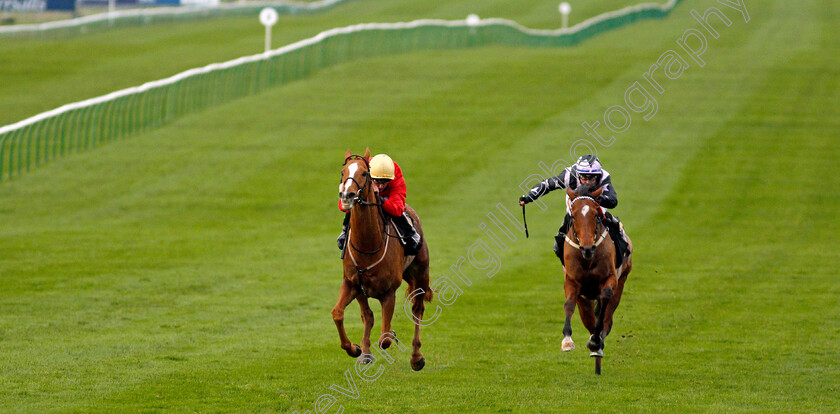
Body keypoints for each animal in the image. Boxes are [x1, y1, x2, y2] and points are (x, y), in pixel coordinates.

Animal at [332, 149, 434, 372]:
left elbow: (385, 338)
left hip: (421, 273)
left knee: (418, 310)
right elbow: (340, 314)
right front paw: (356, 349)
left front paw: (389, 338)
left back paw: (416, 357)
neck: (368, 245)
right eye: (343, 172)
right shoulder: (352, 283)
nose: (347, 195)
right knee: (367, 316)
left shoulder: (388, 292)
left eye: (364, 173)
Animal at [560, 186, 632, 374]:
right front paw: (567, 341)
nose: (587, 248)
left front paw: (596, 341)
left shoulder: (610, 279)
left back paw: (597, 344)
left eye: (595, 214)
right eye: (574, 215)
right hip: (585, 299)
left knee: (607, 318)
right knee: (589, 320)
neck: (587, 259)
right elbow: (568, 304)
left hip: (622, 281)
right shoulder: (572, 282)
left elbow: (605, 300)